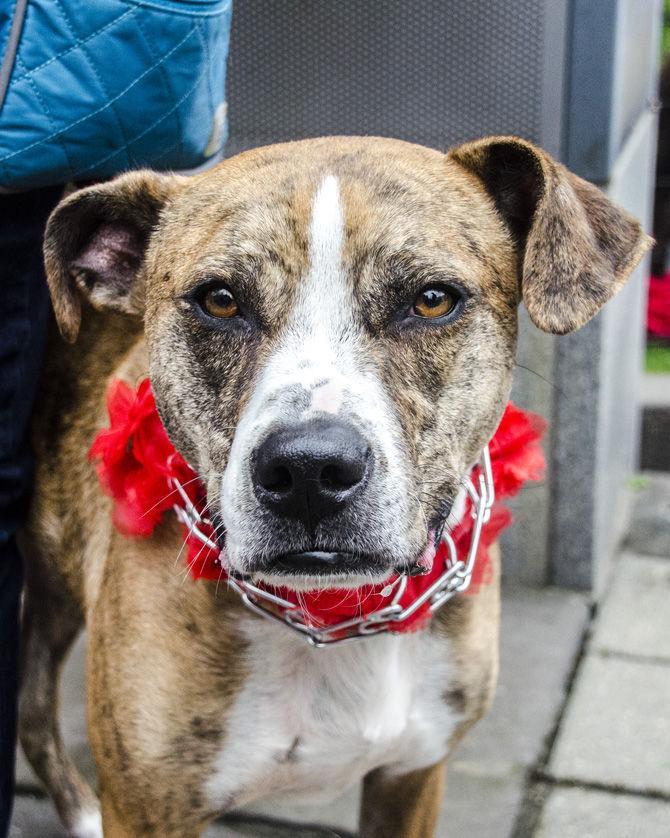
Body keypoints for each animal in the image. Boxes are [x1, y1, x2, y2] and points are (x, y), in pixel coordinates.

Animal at [19, 135, 652, 836]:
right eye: (219, 299)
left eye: (433, 299)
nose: (308, 471)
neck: (337, 617)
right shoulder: (147, 805)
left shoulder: (412, 775)